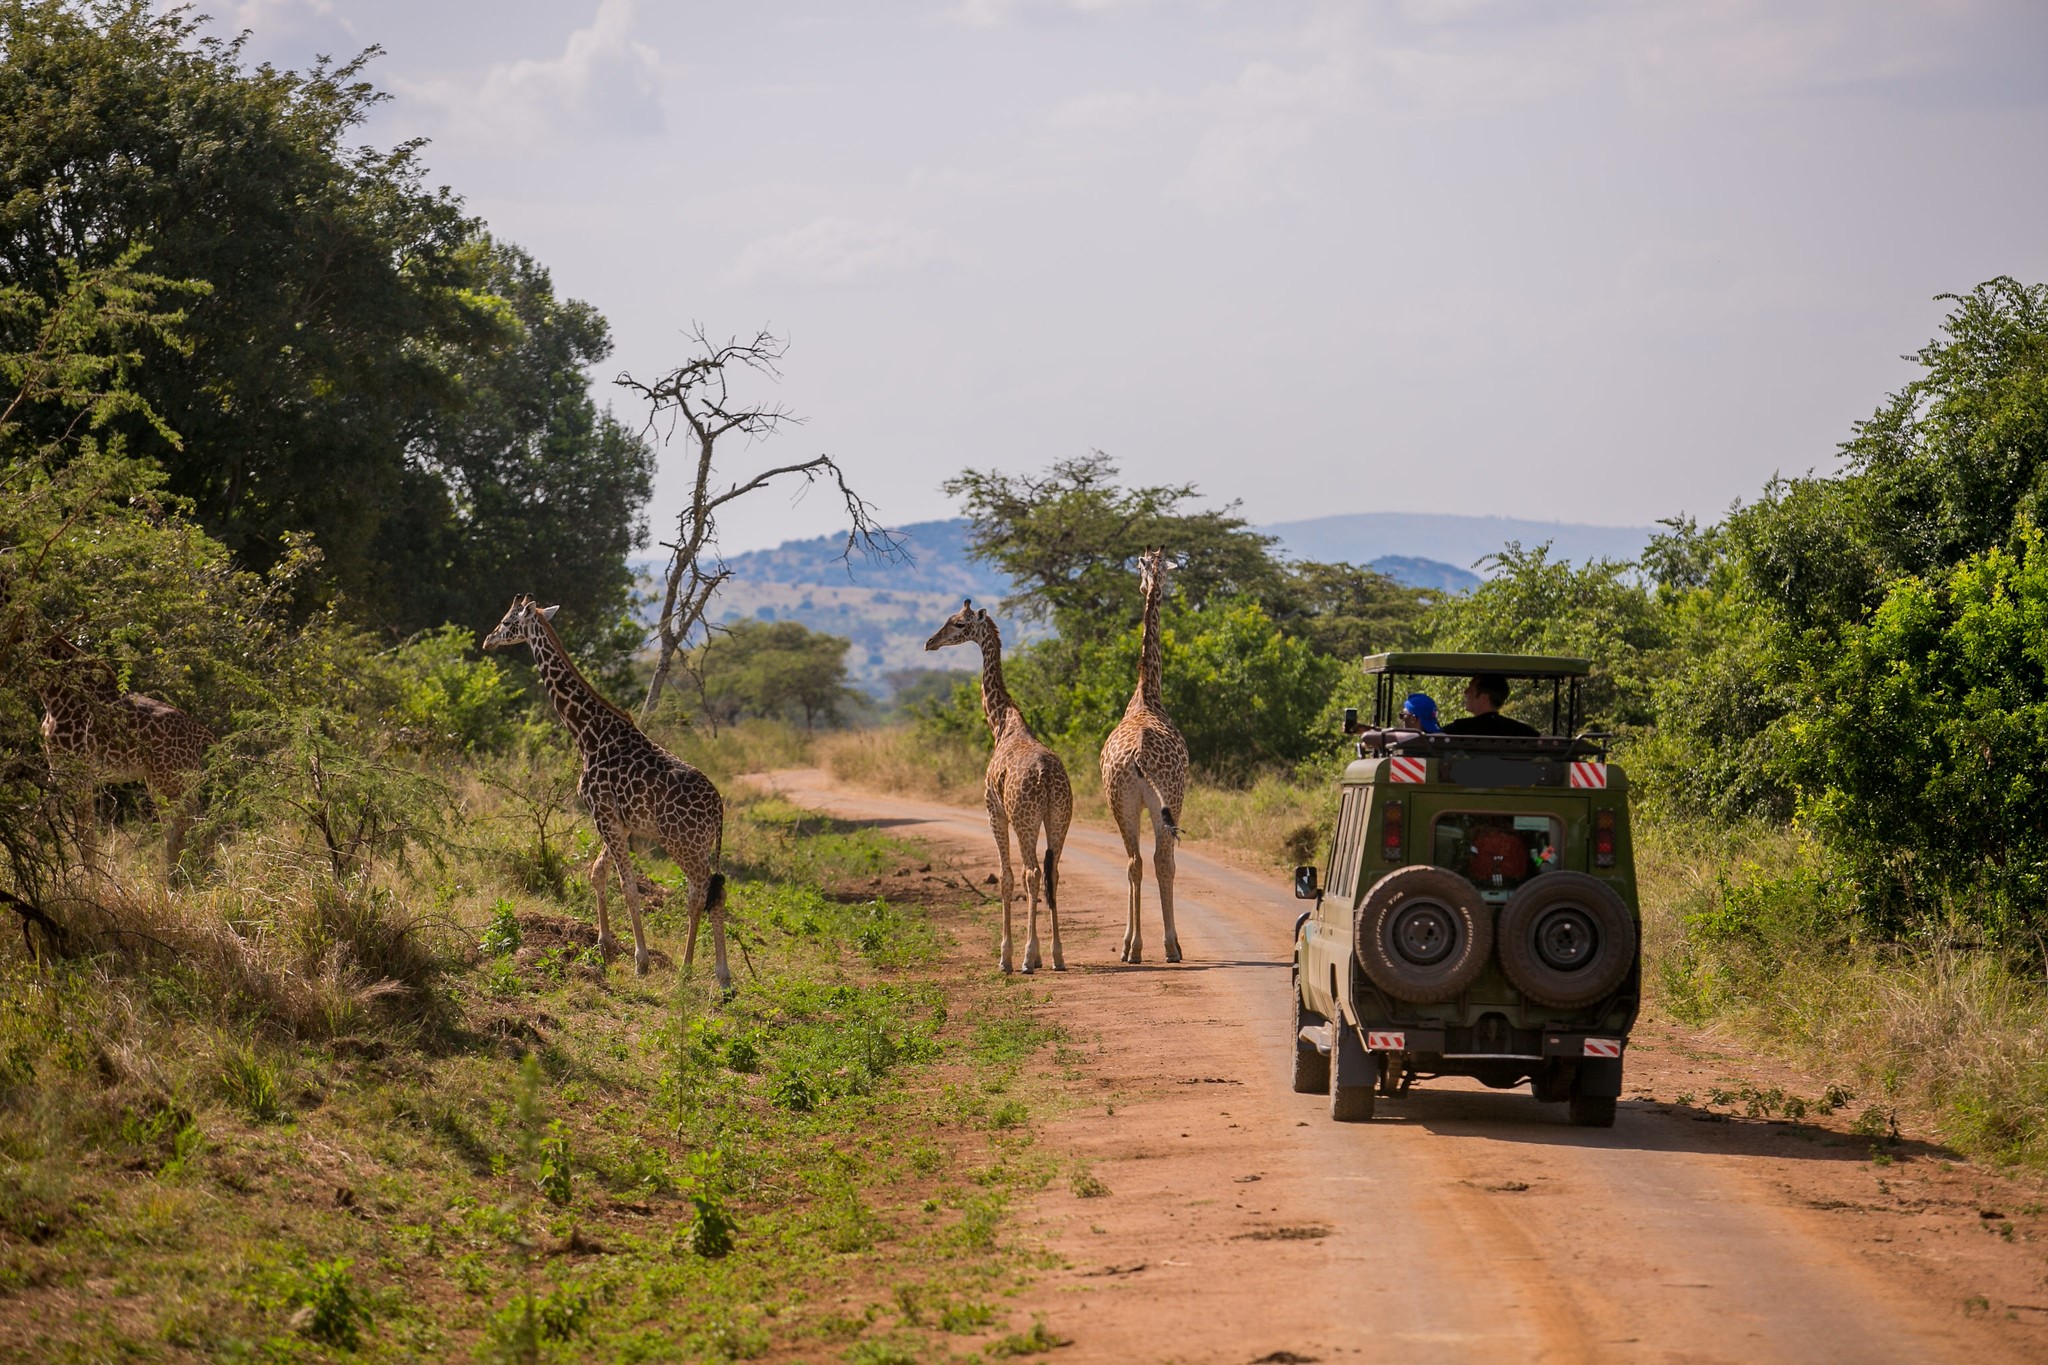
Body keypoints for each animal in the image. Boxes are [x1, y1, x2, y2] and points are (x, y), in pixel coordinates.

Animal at [39, 634, 214, 875]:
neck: (52, 696)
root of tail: (198, 731)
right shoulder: (57, 767)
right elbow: (37, 818)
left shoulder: (81, 770)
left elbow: (87, 836)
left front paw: (91, 880)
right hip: (176, 780)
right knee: (191, 826)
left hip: (168, 781)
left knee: (183, 829)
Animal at [483, 597, 733, 994]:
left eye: (508, 621)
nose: (487, 641)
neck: (588, 733)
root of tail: (719, 807)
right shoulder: (617, 820)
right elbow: (597, 873)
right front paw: (604, 944)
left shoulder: (603, 812)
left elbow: (627, 887)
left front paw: (641, 961)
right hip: (700, 845)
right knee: (711, 893)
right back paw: (713, 975)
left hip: (683, 844)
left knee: (702, 893)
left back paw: (696, 971)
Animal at [925, 601, 1073, 978]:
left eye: (958, 623)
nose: (930, 642)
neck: (1001, 723)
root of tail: (1046, 778)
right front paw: (1040, 954)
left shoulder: (994, 812)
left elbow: (1006, 878)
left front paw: (1006, 956)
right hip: (1060, 819)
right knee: (1052, 872)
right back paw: (1058, 956)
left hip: (1024, 819)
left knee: (1031, 873)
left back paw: (1025, 959)